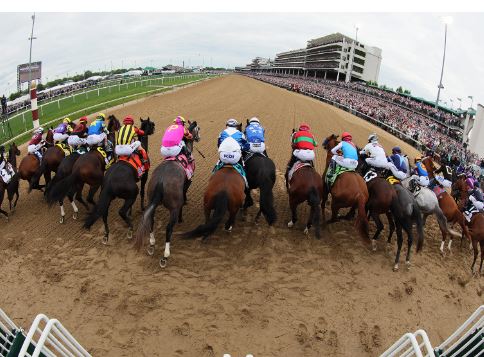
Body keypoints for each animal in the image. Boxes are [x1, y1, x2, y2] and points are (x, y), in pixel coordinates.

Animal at [134, 120, 200, 268]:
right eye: (198, 129)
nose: (199, 138)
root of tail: (160, 181)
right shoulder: (187, 184)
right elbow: (183, 198)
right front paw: (182, 216)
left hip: (151, 200)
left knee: (151, 221)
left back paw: (152, 244)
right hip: (173, 208)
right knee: (169, 228)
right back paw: (165, 255)